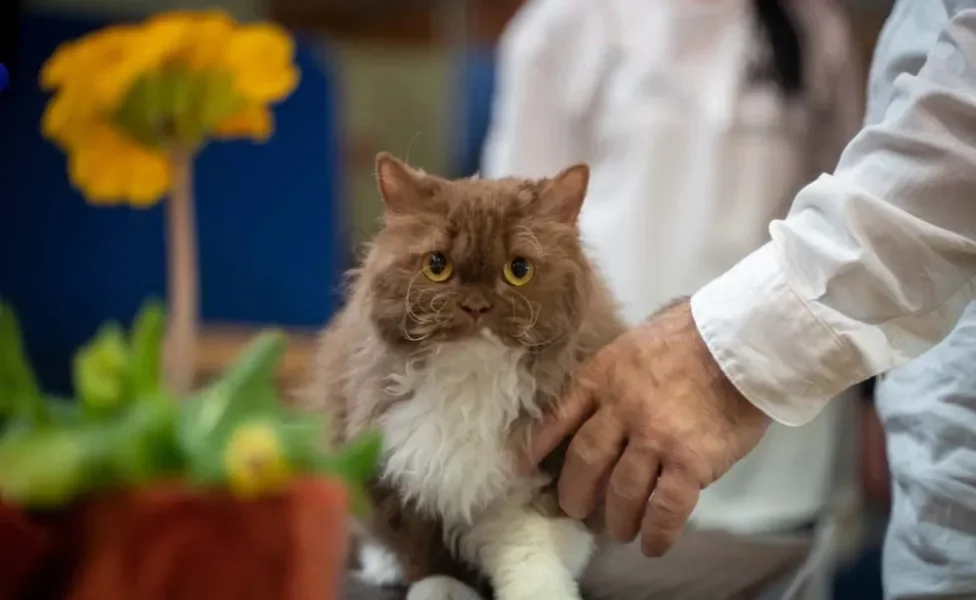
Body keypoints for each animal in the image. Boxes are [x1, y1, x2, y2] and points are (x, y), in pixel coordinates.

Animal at [302, 154, 624, 600]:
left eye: (518, 269)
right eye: (437, 265)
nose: (476, 305)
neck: (471, 385)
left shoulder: (538, 475)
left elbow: (530, 551)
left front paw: (546, 588)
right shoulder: (400, 472)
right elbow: (425, 550)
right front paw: (442, 588)